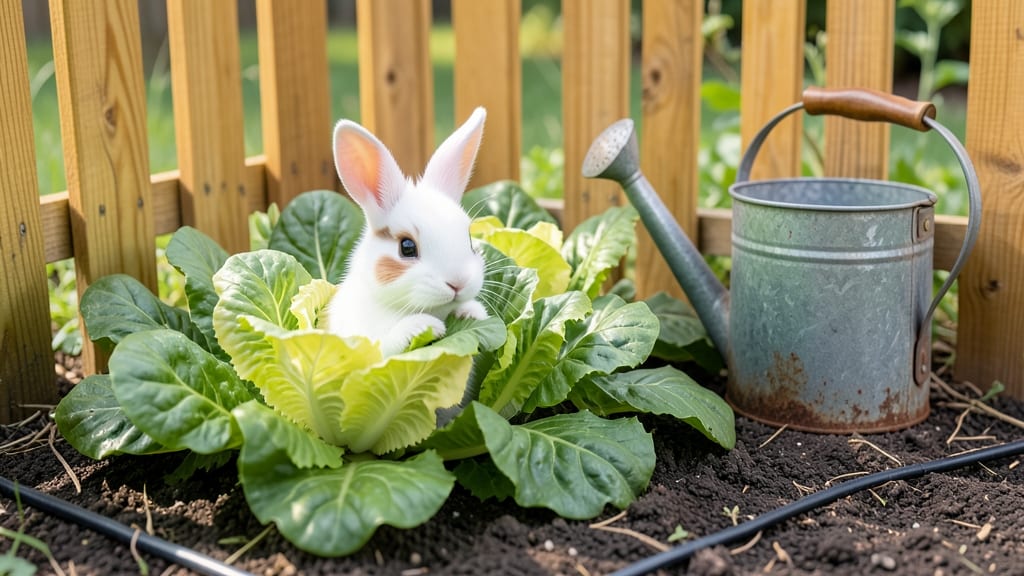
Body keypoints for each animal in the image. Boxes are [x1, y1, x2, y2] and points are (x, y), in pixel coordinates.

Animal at [325, 107, 489, 356]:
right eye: (407, 247)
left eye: (469, 240)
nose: (458, 283)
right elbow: (385, 345)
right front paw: (421, 326)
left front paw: (472, 312)